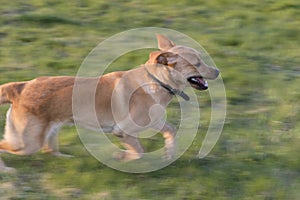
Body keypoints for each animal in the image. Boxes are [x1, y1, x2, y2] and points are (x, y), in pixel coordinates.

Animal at [0, 34, 220, 170]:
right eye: (197, 63)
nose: (218, 71)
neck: (157, 81)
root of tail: (20, 87)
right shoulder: (122, 130)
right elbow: (139, 151)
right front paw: (121, 156)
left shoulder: (156, 122)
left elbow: (171, 131)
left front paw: (168, 154)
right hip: (27, 142)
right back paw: (6, 170)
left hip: (49, 130)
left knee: (49, 150)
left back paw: (66, 158)